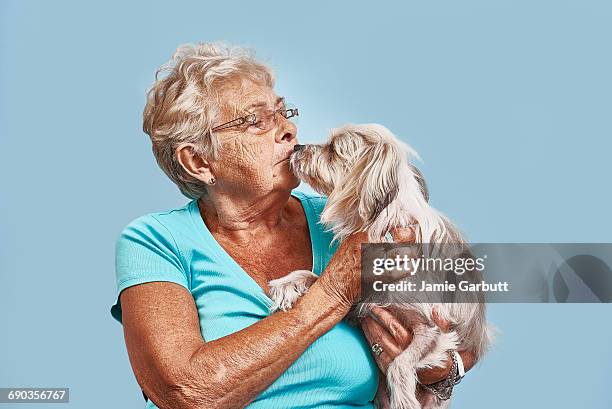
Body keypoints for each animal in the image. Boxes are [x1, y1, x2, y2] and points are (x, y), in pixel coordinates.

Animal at [270, 123, 494, 408]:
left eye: (334, 149)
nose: (297, 146)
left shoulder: (431, 329)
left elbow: (399, 364)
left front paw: (404, 400)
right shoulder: (354, 297)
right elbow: (319, 278)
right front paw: (287, 284)